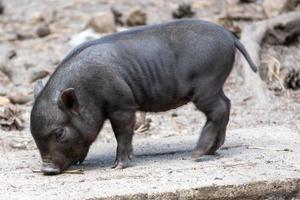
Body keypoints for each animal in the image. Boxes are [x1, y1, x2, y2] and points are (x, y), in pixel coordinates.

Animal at [30, 19, 256, 175]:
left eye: (59, 133)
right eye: (33, 135)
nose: (47, 169)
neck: (87, 91)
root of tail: (230, 36)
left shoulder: (122, 104)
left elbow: (122, 133)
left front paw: (118, 166)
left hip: (206, 85)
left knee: (219, 109)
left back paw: (196, 154)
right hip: (214, 86)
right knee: (227, 104)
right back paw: (212, 150)